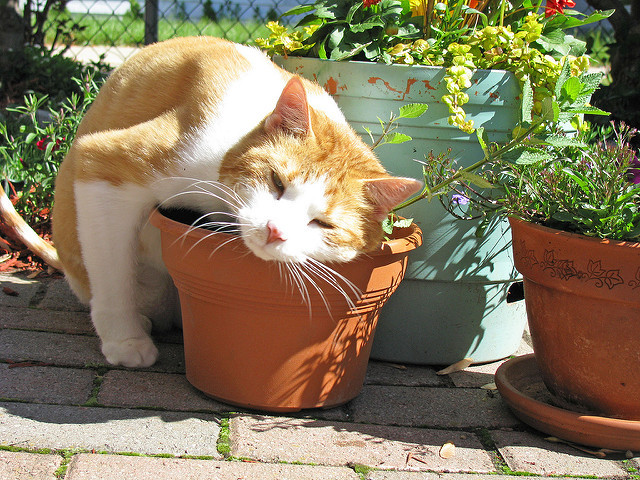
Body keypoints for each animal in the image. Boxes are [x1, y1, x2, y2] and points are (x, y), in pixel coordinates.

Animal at [50, 36, 420, 368]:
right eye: (276, 182)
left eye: (324, 224)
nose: (275, 231)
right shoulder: (101, 164)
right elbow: (113, 277)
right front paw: (125, 340)